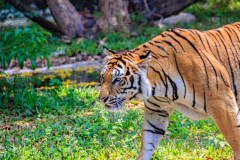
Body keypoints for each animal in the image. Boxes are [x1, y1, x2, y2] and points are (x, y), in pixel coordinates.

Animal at [98, 21, 240, 159]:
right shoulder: (156, 111)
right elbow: (147, 143)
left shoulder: (222, 103)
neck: (158, 86)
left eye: (117, 79)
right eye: (102, 77)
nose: (101, 99)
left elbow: (236, 141)